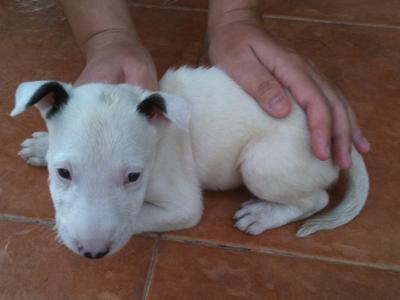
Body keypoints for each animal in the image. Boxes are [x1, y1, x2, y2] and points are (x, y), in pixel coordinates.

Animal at [10, 67, 370, 258]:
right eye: (63, 173)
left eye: (134, 176)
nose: (93, 251)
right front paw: (41, 145)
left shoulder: (182, 205)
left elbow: (137, 217)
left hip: (261, 164)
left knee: (316, 199)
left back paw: (264, 214)